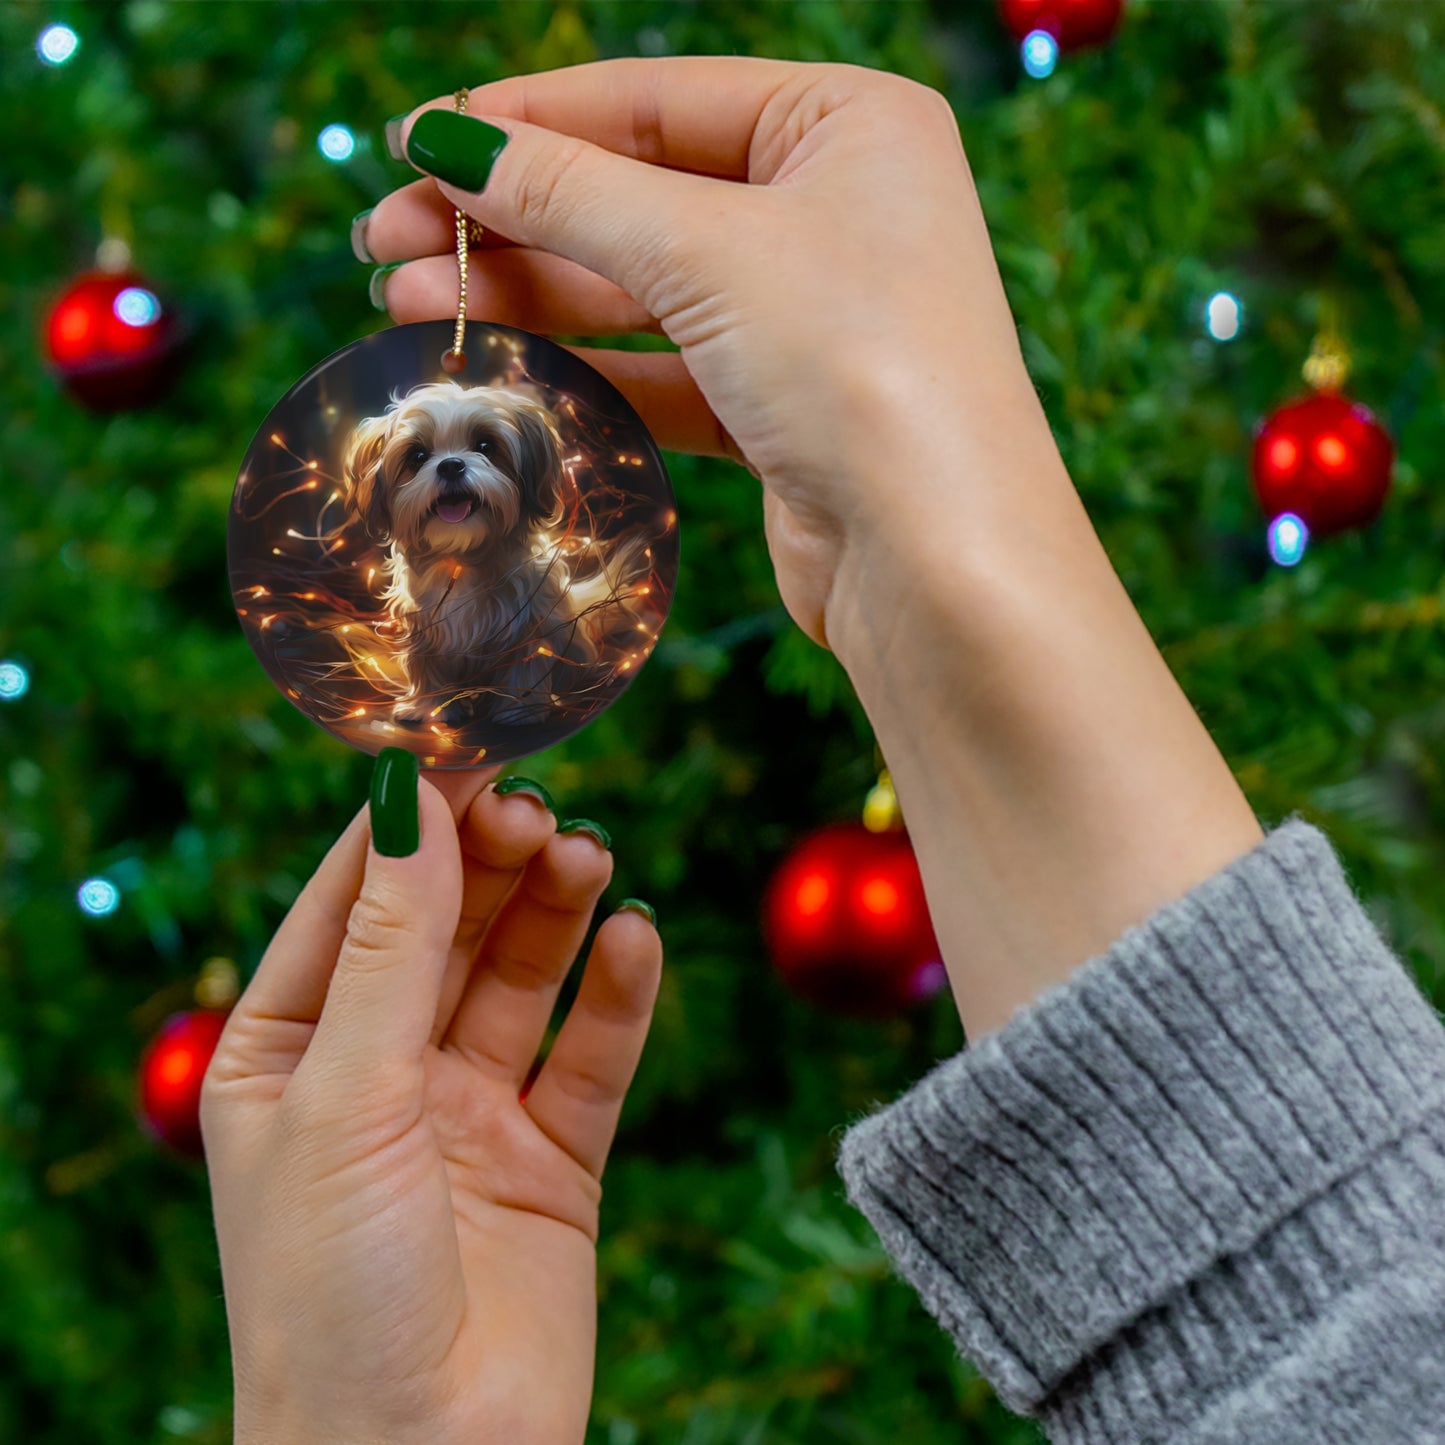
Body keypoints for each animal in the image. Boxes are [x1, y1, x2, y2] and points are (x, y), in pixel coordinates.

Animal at [341, 378, 630, 728]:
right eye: (417, 456)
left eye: (485, 446)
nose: (451, 465)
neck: (460, 557)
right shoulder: (422, 624)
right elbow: (424, 663)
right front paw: (427, 706)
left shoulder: (530, 617)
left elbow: (527, 660)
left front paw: (520, 709)